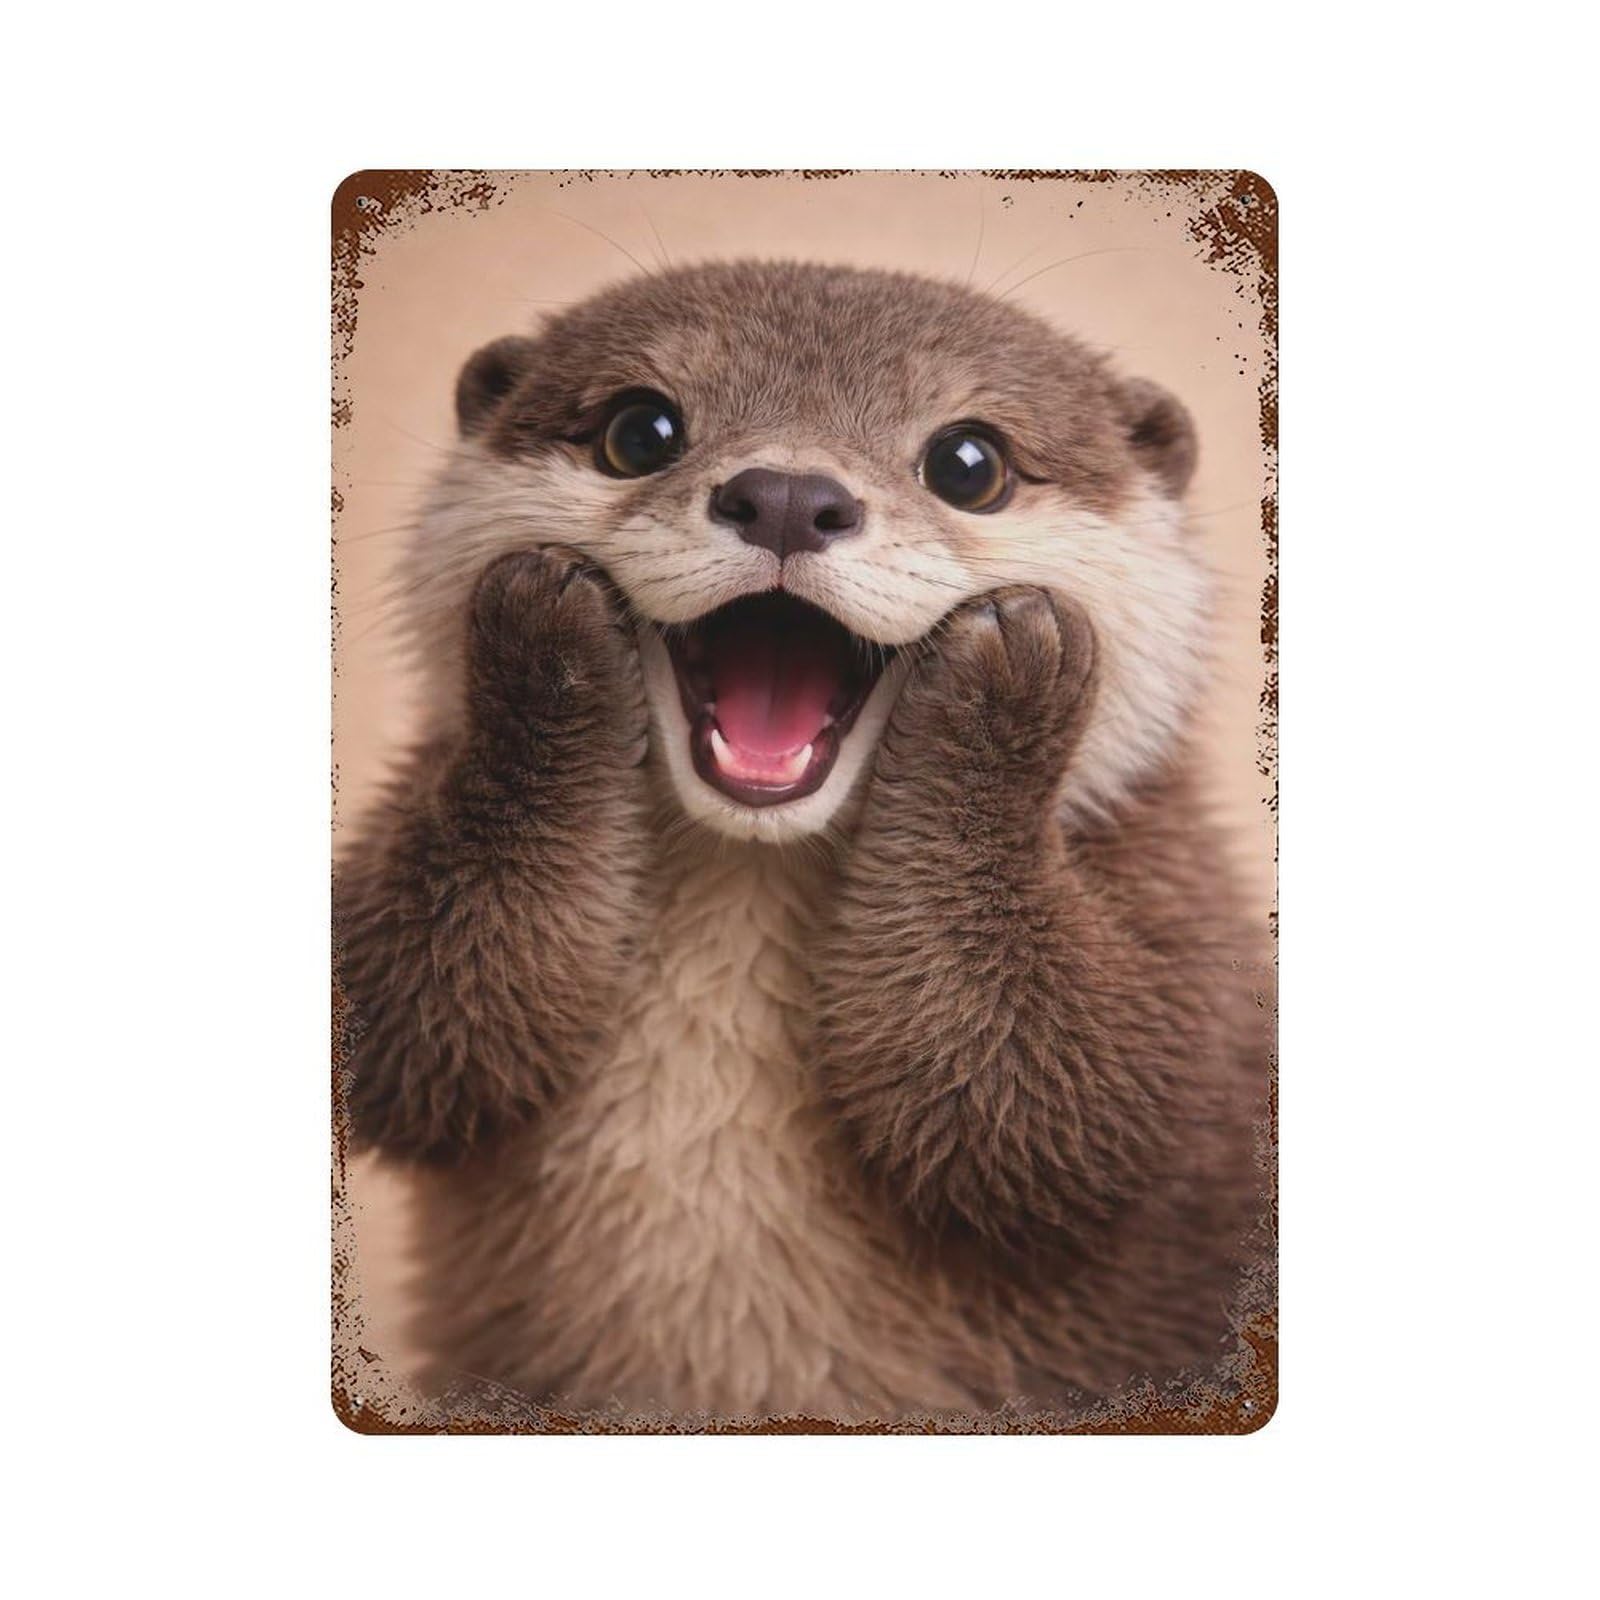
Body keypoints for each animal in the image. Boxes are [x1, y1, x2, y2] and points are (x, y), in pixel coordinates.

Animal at [336, 260, 1271, 1424]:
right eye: (640, 429)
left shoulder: (1189, 956)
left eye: (969, 463)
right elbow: (413, 1019)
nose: (785, 495)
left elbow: (1070, 1102)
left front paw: (1005, 675)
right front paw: (544, 630)